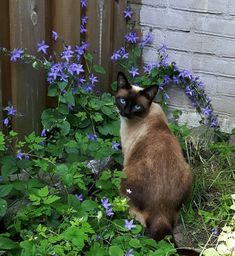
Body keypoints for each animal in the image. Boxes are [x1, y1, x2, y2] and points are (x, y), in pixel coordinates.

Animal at [115, 72, 198, 256]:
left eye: (137, 107)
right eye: (123, 100)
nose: (125, 111)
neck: (146, 115)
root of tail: (161, 211)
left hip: (124, 180)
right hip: (188, 172)